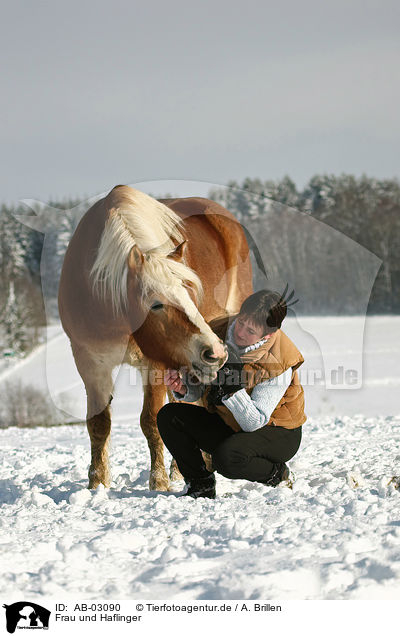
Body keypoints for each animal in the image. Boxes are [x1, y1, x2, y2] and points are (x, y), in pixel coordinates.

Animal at [57, 184, 252, 492]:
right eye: (156, 304)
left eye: (190, 292)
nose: (214, 352)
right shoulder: (90, 363)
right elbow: (98, 423)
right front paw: (97, 483)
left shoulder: (155, 365)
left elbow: (151, 421)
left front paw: (158, 482)